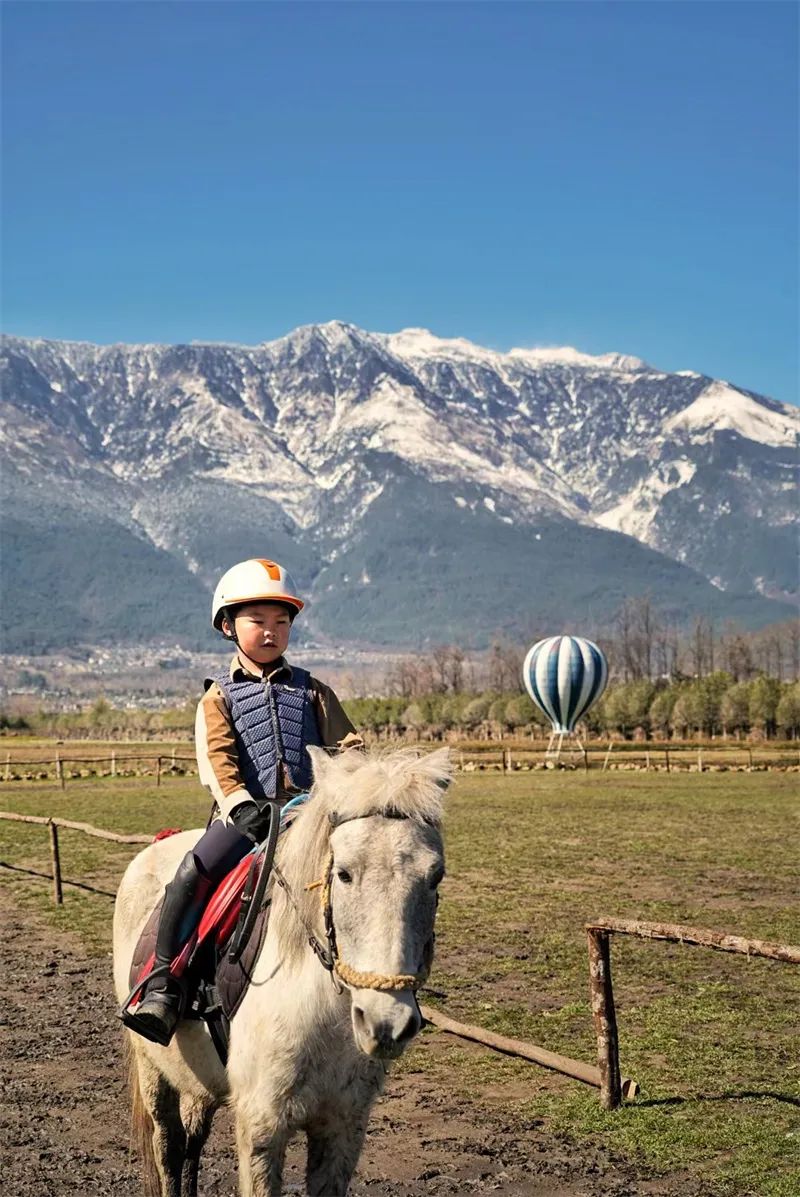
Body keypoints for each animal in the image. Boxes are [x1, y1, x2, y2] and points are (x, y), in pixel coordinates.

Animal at [112, 742, 450, 1192]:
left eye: (435, 876)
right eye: (343, 873)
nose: (386, 1023)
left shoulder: (343, 1127)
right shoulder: (261, 1127)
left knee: (193, 1137)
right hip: (151, 1066)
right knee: (168, 1147)